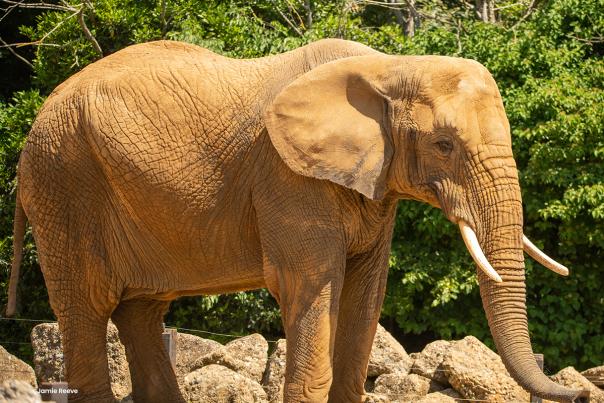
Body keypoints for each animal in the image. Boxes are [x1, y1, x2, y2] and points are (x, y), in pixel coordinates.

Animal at [4, 38, 588, 403]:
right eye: (444, 145)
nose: (581, 392)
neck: (390, 66)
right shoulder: (287, 177)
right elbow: (312, 286)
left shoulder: (372, 184)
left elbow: (365, 294)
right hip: (63, 186)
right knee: (87, 308)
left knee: (141, 312)